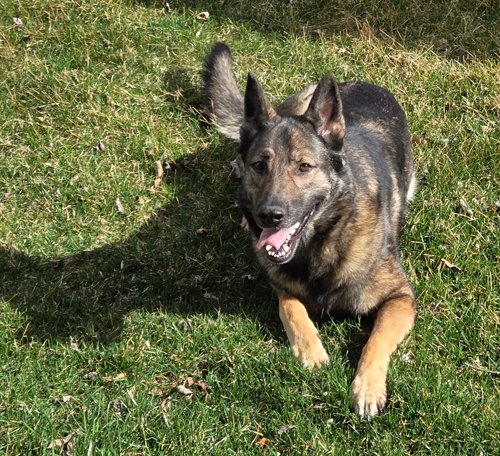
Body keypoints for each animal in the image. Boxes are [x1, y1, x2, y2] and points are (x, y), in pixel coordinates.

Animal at [202, 43, 417, 419]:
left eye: (304, 167)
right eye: (259, 165)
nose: (268, 216)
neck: (321, 244)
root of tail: (362, 82)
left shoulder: (401, 298)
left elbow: (376, 339)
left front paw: (367, 387)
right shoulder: (282, 287)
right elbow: (292, 310)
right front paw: (311, 350)